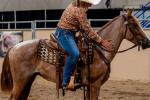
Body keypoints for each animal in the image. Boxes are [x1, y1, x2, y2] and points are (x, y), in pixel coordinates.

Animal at [0, 9, 150, 99]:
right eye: (134, 24)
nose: (147, 42)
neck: (99, 51)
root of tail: (13, 48)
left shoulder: (89, 86)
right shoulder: (95, 84)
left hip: (28, 80)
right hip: (20, 82)